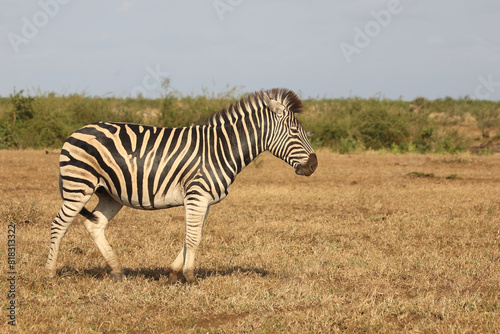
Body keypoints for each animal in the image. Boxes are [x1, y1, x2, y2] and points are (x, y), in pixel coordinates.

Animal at [44, 87, 316, 284]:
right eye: (294, 131)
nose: (313, 165)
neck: (220, 149)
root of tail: (76, 132)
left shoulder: (204, 200)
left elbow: (192, 236)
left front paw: (174, 273)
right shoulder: (197, 195)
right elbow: (193, 238)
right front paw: (190, 277)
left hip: (110, 194)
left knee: (94, 225)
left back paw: (117, 271)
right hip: (79, 186)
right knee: (59, 224)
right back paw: (50, 274)